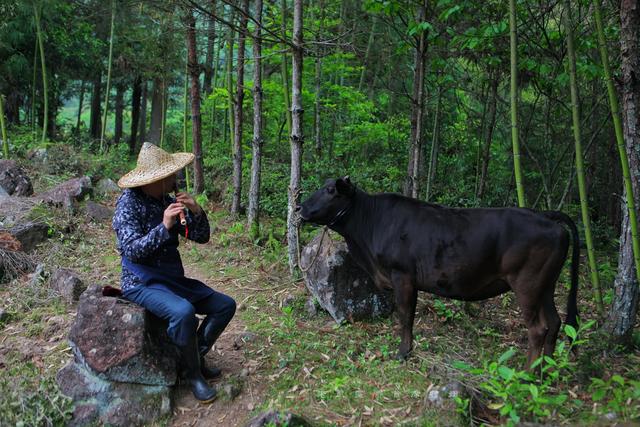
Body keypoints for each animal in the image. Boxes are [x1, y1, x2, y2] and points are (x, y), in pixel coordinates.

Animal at [296, 177, 580, 368]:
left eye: (330, 190)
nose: (298, 207)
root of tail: (544, 216)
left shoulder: (402, 276)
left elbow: (405, 315)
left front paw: (403, 352)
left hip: (527, 284)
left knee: (538, 328)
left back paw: (528, 373)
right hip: (546, 285)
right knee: (555, 322)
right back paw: (546, 370)